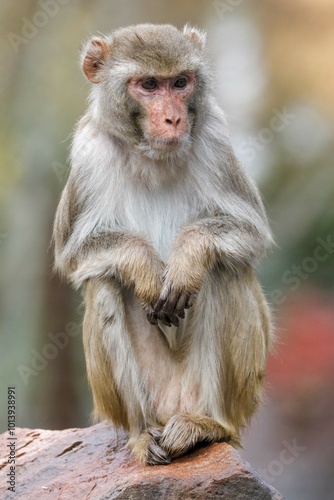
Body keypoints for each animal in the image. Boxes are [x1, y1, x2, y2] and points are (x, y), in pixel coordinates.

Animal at [53, 23, 274, 464]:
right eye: (149, 85)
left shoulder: (214, 137)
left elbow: (249, 231)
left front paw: (187, 257)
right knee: (105, 282)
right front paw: (146, 269)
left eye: (180, 83)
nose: (173, 118)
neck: (151, 157)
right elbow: (74, 254)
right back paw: (143, 435)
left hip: (236, 397)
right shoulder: (88, 153)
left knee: (224, 269)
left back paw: (208, 425)